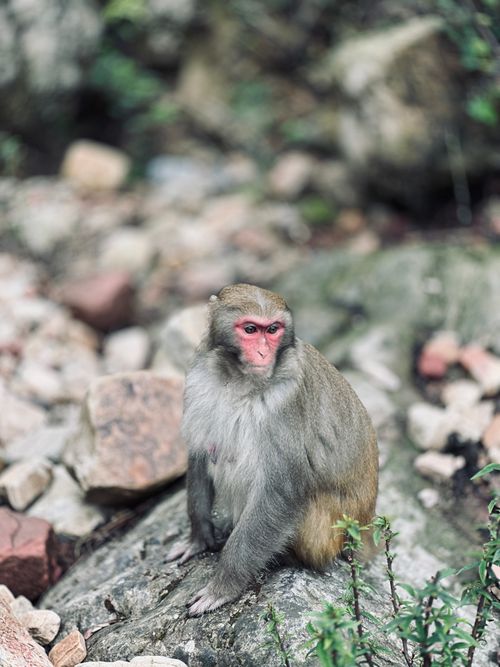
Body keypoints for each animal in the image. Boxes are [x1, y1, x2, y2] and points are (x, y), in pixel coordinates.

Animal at [166, 283, 378, 616]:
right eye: (251, 330)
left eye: (273, 330)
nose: (263, 353)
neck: (238, 379)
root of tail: (366, 526)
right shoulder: (200, 378)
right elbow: (200, 455)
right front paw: (198, 539)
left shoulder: (286, 404)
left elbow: (280, 492)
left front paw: (223, 586)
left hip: (331, 531)